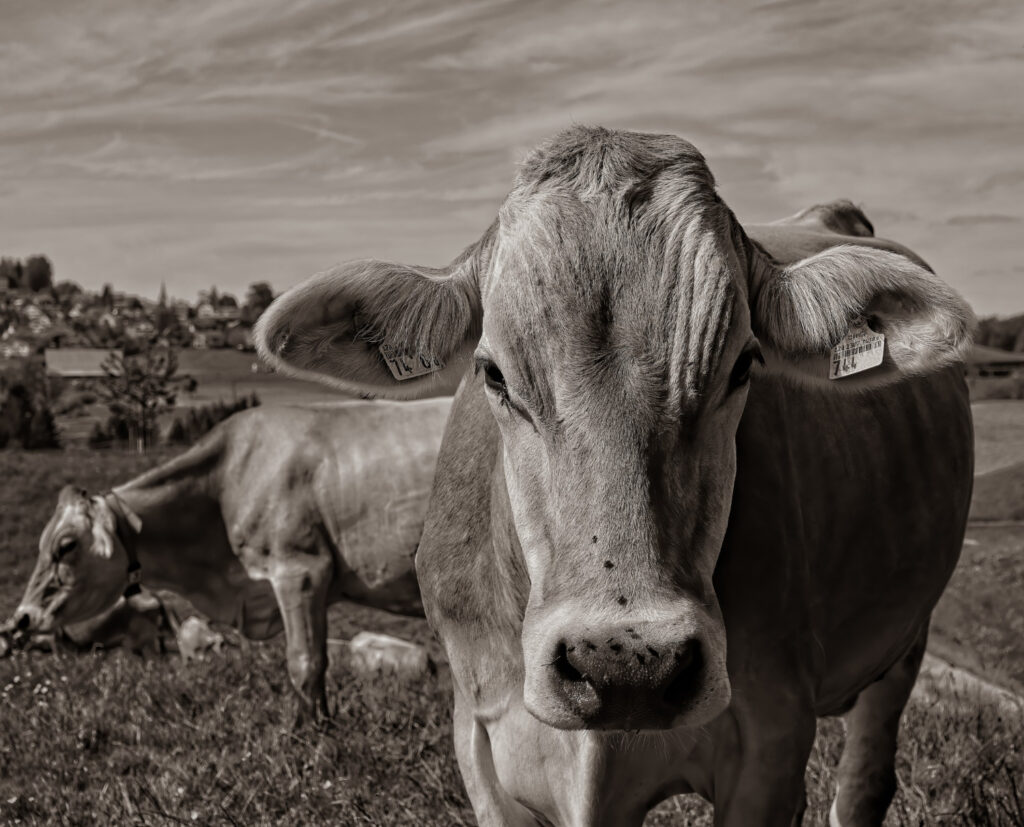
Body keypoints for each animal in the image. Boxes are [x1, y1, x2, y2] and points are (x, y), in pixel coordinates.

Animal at [255, 127, 975, 826]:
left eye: (743, 365)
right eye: (492, 373)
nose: (627, 665)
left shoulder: (771, 738)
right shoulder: (480, 738)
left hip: (903, 642)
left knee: (864, 782)